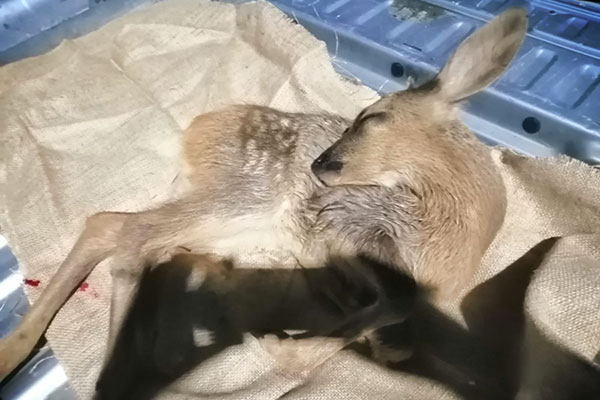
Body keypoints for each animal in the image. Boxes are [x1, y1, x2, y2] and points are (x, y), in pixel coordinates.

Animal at [0, 8, 527, 389]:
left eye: (373, 117)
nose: (320, 165)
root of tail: (194, 132)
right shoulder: (352, 221)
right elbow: (394, 303)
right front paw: (284, 346)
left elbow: (397, 333)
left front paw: (352, 334)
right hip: (248, 193)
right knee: (126, 229)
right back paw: (112, 371)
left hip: (238, 216)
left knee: (123, 229)